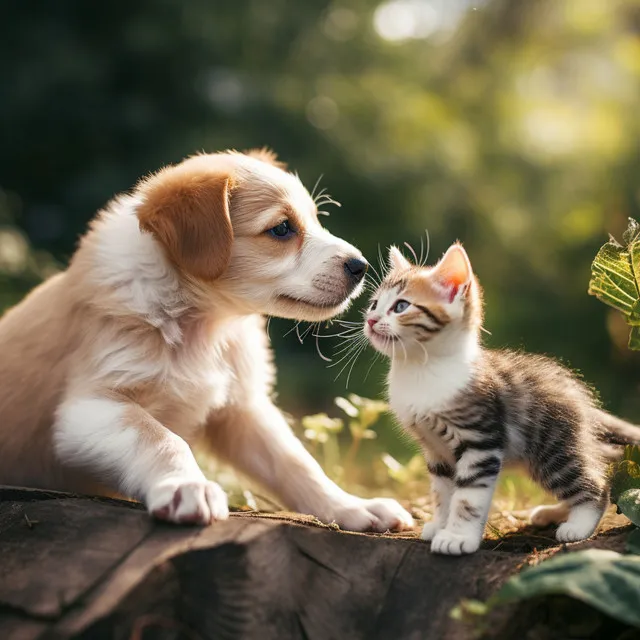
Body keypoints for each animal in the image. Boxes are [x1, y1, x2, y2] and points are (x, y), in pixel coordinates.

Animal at [0, 149, 412, 528]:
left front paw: (352, 507)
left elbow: (296, 463)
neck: (205, 324)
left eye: (314, 220)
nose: (361, 267)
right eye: (281, 229)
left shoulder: (242, 408)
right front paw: (187, 486)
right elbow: (162, 438)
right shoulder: (92, 403)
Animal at [364, 242, 640, 552]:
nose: (371, 320)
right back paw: (553, 513)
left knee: (596, 482)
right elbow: (442, 493)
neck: (420, 368)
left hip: (552, 449)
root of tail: (577, 393)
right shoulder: (437, 452)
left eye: (401, 306)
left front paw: (458, 537)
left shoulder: (479, 441)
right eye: (374, 304)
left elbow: (467, 497)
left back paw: (578, 525)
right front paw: (439, 525)